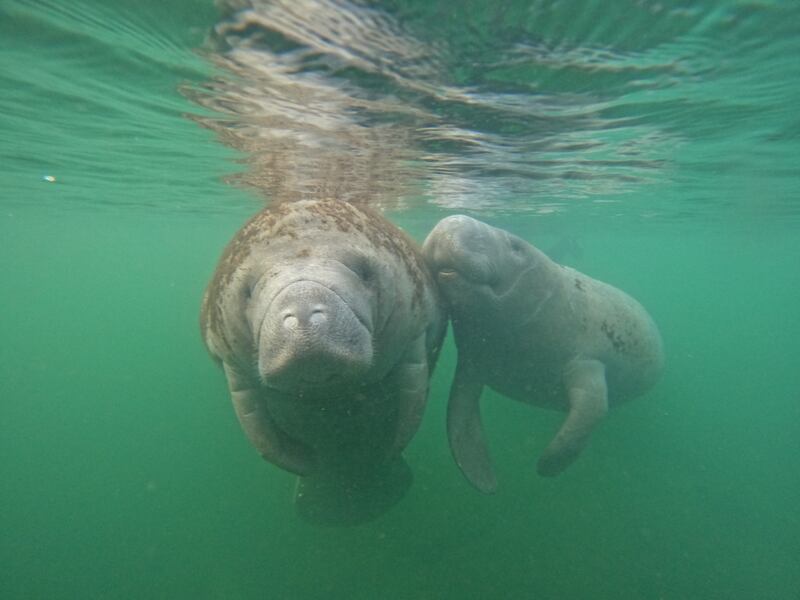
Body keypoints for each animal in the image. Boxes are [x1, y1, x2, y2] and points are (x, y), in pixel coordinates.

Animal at [200, 199, 446, 524]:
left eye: (365, 273)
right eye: (248, 292)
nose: (303, 312)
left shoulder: (415, 334)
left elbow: (412, 402)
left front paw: (388, 450)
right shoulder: (231, 362)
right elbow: (257, 428)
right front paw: (304, 464)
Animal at [422, 216, 664, 492]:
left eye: (516, 246)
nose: (452, 221)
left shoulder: (587, 362)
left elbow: (590, 412)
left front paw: (547, 466)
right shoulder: (472, 362)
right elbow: (459, 418)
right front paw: (486, 482)